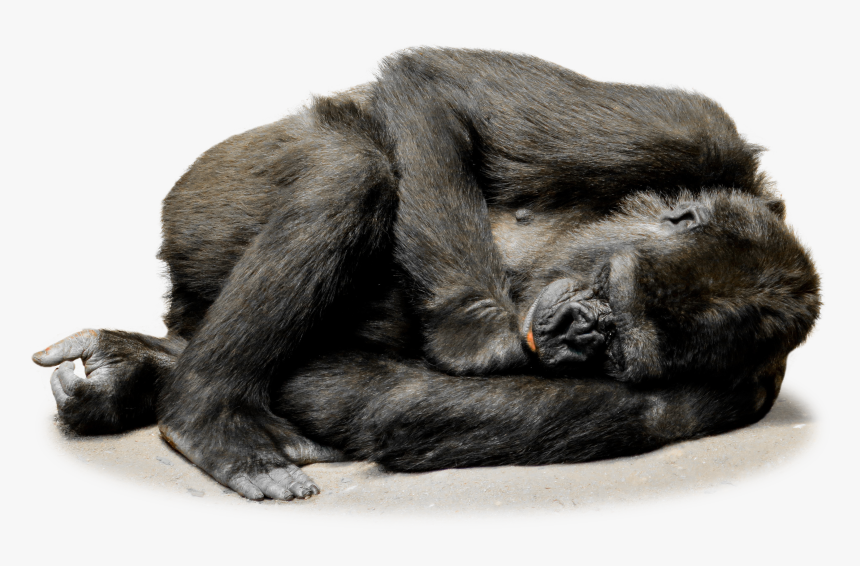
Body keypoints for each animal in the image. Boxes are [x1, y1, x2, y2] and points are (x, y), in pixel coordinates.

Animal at [33, 49, 820, 501]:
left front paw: (140, 372)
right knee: (351, 166)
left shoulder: (727, 397)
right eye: (606, 291)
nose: (590, 331)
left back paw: (159, 379)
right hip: (200, 199)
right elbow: (437, 88)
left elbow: (394, 406)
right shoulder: (693, 128)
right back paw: (205, 414)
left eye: (623, 349)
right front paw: (484, 337)